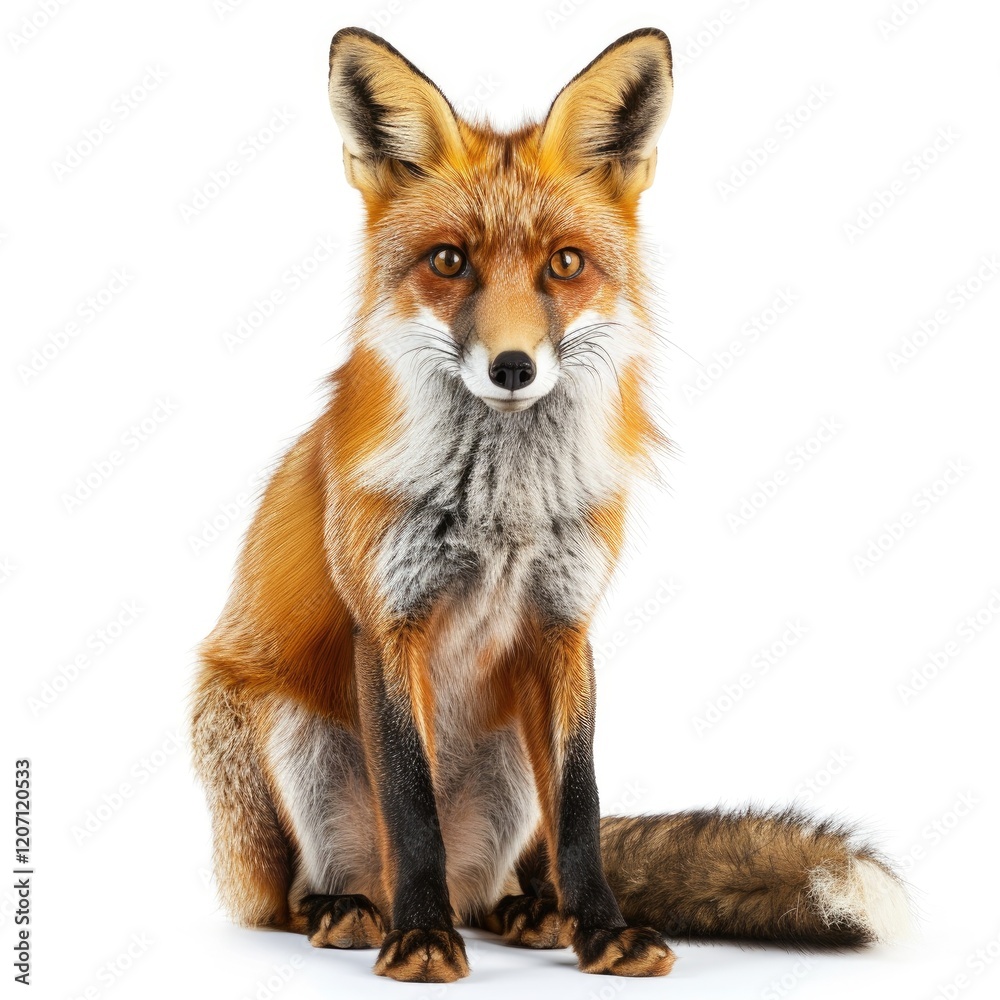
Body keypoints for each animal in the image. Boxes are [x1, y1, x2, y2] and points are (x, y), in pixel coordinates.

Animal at [191, 26, 911, 983]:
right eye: (450, 260)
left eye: (564, 264)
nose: (512, 368)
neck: (505, 510)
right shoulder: (388, 620)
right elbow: (410, 804)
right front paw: (421, 938)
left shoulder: (564, 625)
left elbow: (582, 806)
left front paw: (601, 930)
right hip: (276, 730)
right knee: (294, 896)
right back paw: (355, 912)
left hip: (506, 768)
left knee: (516, 872)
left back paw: (529, 910)